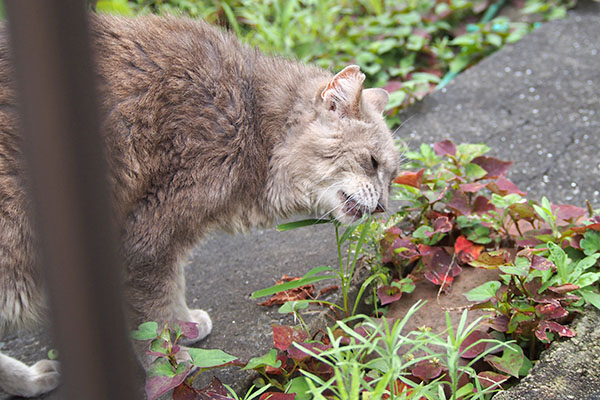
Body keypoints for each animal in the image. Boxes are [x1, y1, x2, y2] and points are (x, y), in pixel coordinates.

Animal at [1, 14, 404, 396]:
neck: (252, 123)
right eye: (371, 162)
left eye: (392, 178)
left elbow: (172, 291)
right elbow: (156, 313)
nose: (382, 206)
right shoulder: (145, 241)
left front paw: (187, 327)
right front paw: (171, 363)